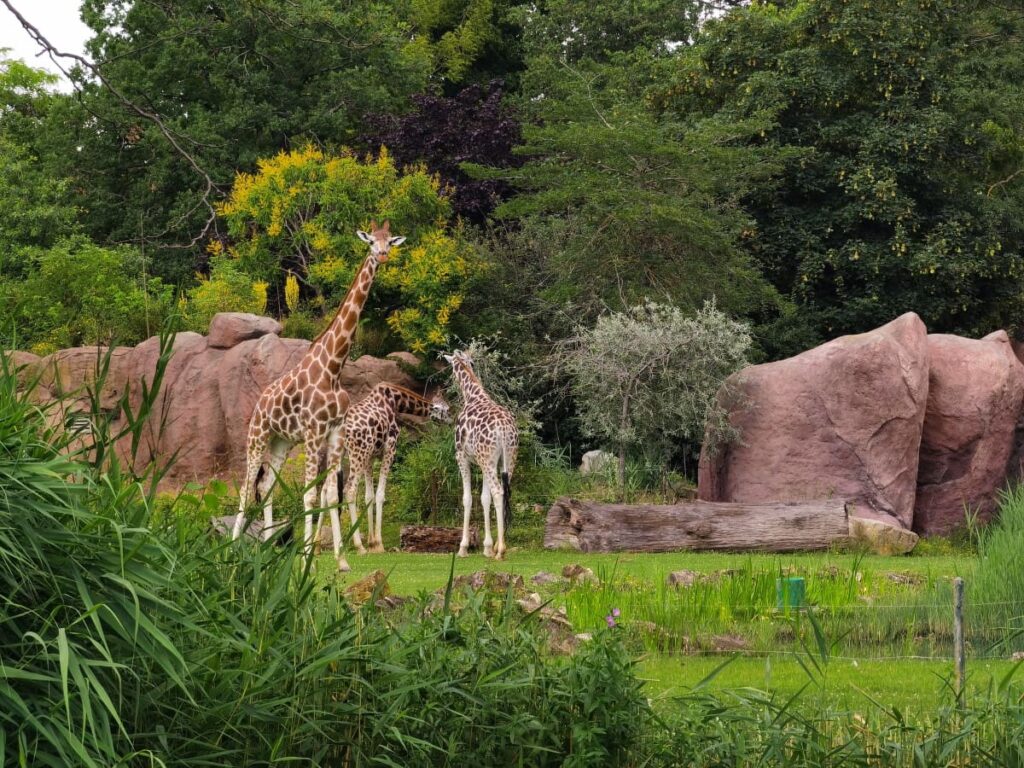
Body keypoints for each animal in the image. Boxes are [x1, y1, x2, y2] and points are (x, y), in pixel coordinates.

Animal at [231, 218, 403, 573]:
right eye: (370, 242)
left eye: (389, 241)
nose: (382, 256)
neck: (333, 368)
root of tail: (259, 403)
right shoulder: (313, 432)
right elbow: (310, 495)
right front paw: (307, 560)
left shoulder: (335, 431)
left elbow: (331, 495)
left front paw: (341, 560)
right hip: (257, 435)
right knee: (245, 485)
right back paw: (231, 547)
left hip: (281, 442)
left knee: (266, 487)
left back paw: (266, 549)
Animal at [315, 382, 452, 552]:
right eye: (447, 409)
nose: (452, 421)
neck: (395, 401)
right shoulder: (389, 450)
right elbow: (380, 495)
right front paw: (378, 544)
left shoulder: (370, 457)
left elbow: (368, 496)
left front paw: (372, 543)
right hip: (357, 453)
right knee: (349, 490)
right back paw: (358, 546)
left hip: (338, 455)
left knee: (325, 490)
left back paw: (318, 546)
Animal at [444, 352, 520, 561]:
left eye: (450, 367)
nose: (450, 381)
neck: (472, 396)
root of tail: (503, 429)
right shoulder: (484, 461)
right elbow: (484, 498)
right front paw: (486, 547)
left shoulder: (461, 456)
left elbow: (467, 498)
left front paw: (463, 548)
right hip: (508, 458)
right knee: (503, 493)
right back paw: (498, 547)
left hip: (488, 459)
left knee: (498, 492)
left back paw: (501, 550)